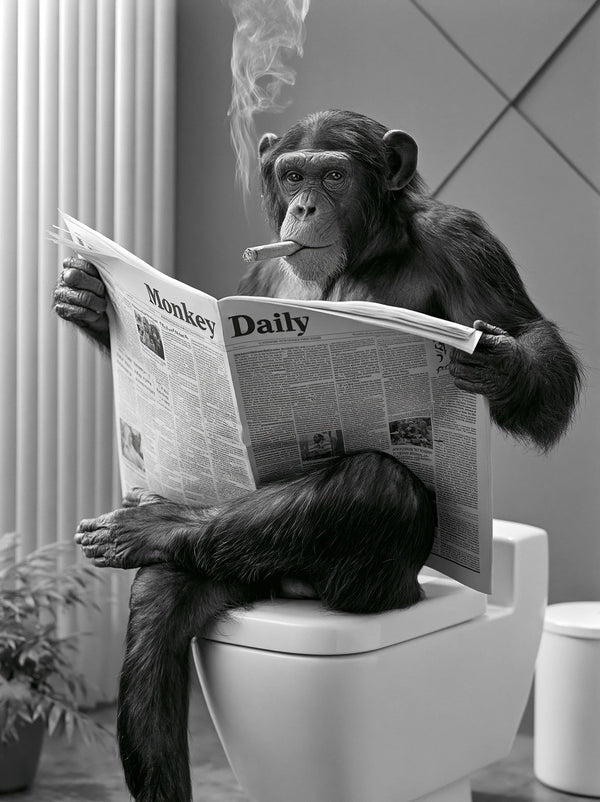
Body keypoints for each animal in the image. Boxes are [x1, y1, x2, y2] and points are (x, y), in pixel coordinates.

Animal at [54, 110, 581, 801]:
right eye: (293, 176)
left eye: (333, 176)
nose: (304, 206)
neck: (370, 248)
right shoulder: (260, 278)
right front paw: (89, 295)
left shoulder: (465, 242)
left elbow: (528, 334)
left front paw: (499, 359)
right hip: (250, 580)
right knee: (157, 612)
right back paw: (157, 538)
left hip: (384, 590)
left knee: (376, 482)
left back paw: (153, 526)